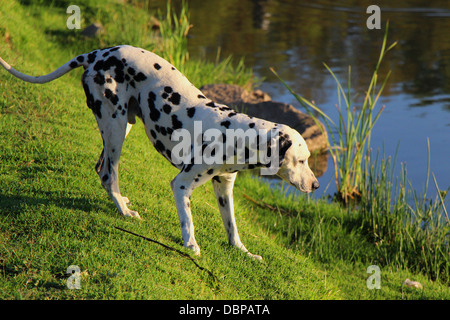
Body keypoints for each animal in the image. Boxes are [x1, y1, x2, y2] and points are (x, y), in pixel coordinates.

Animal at [0, 45, 318, 260]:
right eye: (301, 160)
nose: (315, 185)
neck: (237, 134)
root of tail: (97, 53)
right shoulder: (182, 185)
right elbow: (188, 220)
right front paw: (191, 244)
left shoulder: (224, 188)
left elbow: (232, 228)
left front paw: (243, 252)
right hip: (115, 127)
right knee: (108, 175)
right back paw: (125, 211)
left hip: (122, 126)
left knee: (101, 170)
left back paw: (122, 202)